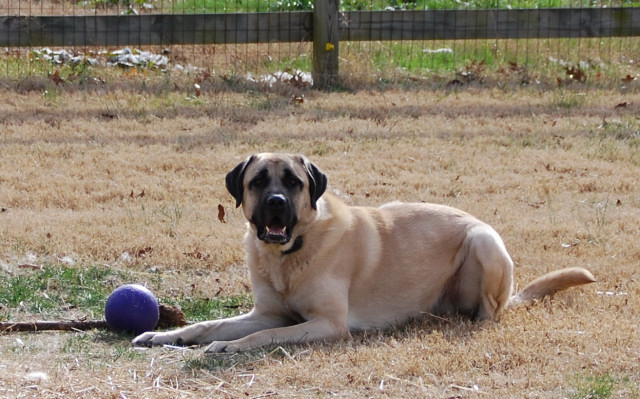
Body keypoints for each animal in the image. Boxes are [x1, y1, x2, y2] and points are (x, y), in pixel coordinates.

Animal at [132, 152, 596, 354]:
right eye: (258, 180)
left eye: (293, 182)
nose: (277, 203)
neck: (290, 255)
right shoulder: (267, 312)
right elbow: (209, 325)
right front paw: (166, 335)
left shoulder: (327, 324)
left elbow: (263, 337)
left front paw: (229, 347)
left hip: (484, 241)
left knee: (489, 314)